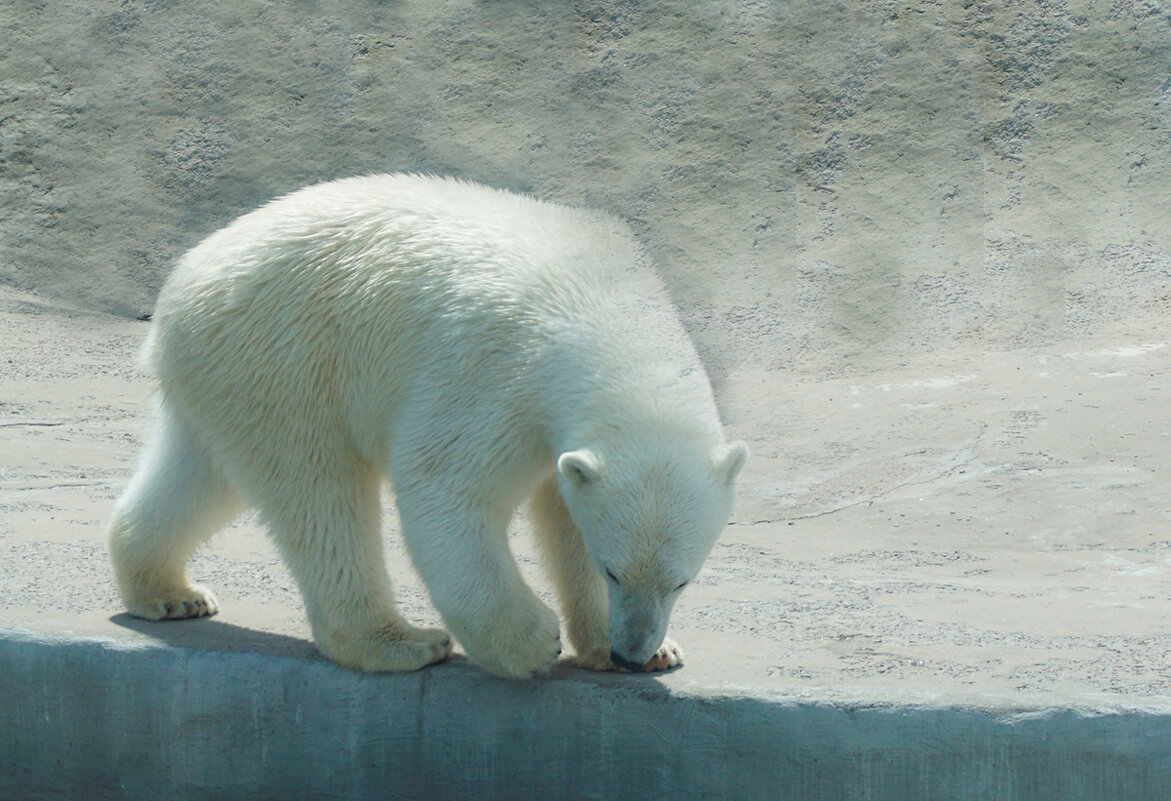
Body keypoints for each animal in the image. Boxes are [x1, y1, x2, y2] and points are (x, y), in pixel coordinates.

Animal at [105, 175, 744, 674]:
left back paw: (169, 592)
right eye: (616, 573)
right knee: (319, 495)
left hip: (224, 372)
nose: (630, 654)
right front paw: (532, 642)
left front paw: (651, 650)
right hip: (287, 357)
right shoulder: (499, 371)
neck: (603, 298)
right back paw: (401, 643)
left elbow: (565, 514)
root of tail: (180, 285)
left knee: (200, 475)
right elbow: (446, 486)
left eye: (682, 580)